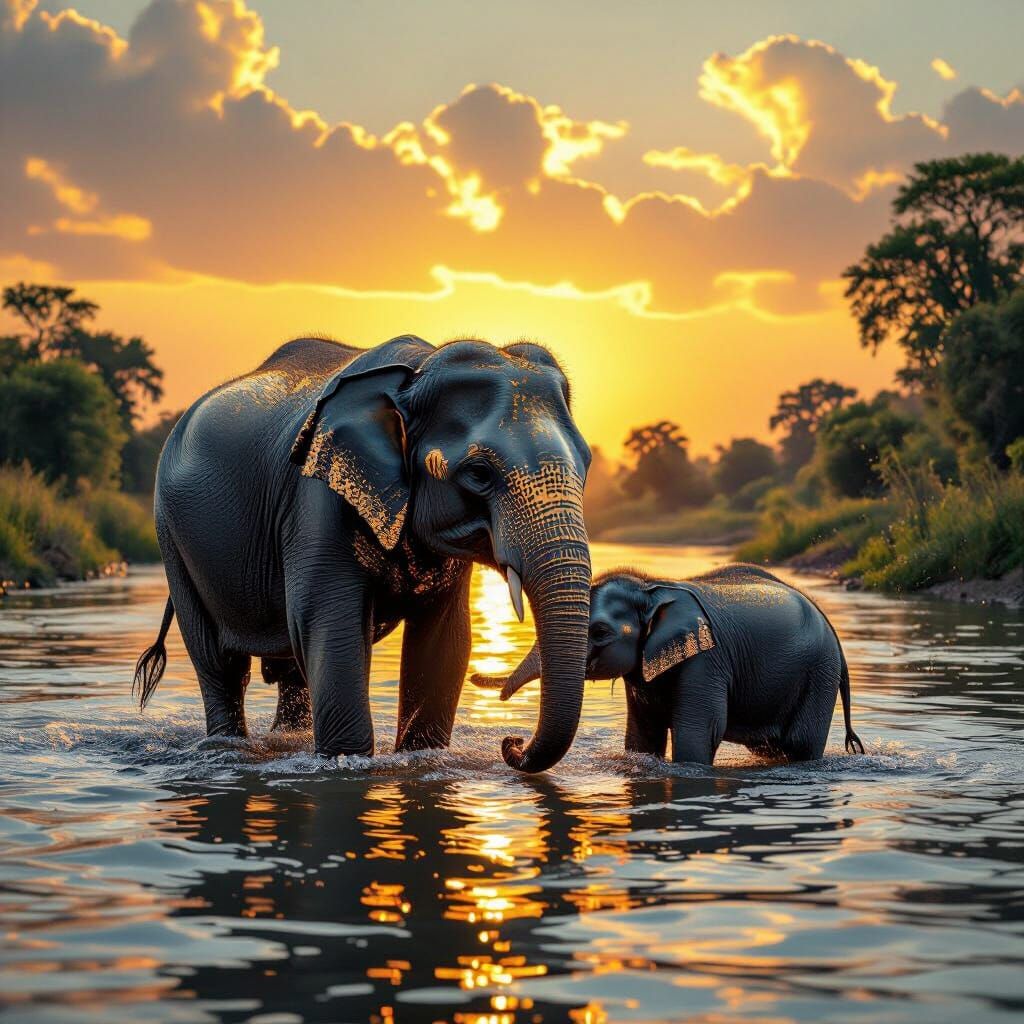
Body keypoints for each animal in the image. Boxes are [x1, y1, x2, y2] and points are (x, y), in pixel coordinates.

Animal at [133, 334, 592, 773]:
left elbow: (446, 641)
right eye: (479, 473)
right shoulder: (316, 499)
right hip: (171, 534)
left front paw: (421, 759)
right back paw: (228, 746)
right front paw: (345, 763)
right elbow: (330, 625)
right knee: (220, 663)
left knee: (291, 669)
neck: (416, 371)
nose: (511, 742)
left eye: (585, 463)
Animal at [471, 564, 864, 765]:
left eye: (599, 632)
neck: (650, 588)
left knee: (800, 745)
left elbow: (699, 732)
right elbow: (643, 734)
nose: (512, 737)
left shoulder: (707, 661)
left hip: (819, 674)